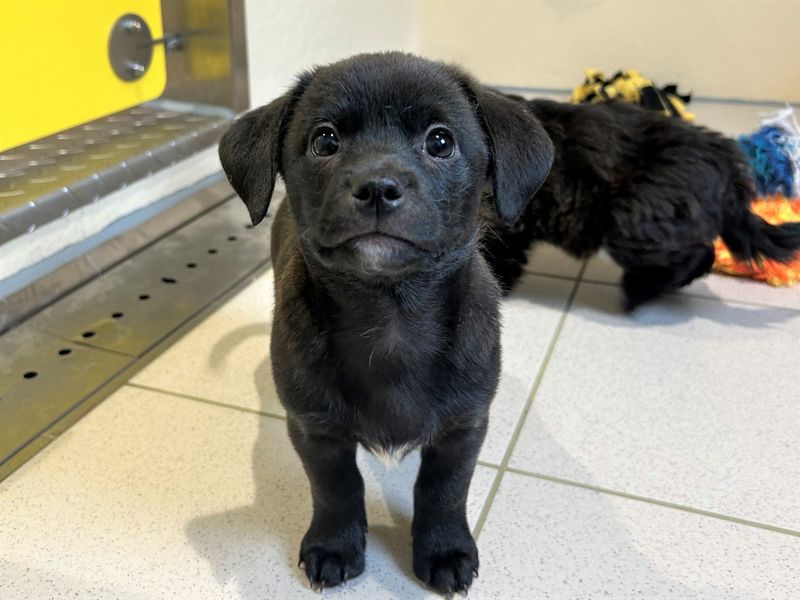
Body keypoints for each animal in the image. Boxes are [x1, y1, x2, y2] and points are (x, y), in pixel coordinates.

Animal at [219, 52, 556, 596]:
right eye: (325, 141)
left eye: (440, 141)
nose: (378, 188)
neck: (390, 318)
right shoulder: (316, 431)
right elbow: (336, 488)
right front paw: (335, 545)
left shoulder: (463, 428)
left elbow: (444, 491)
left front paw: (444, 550)